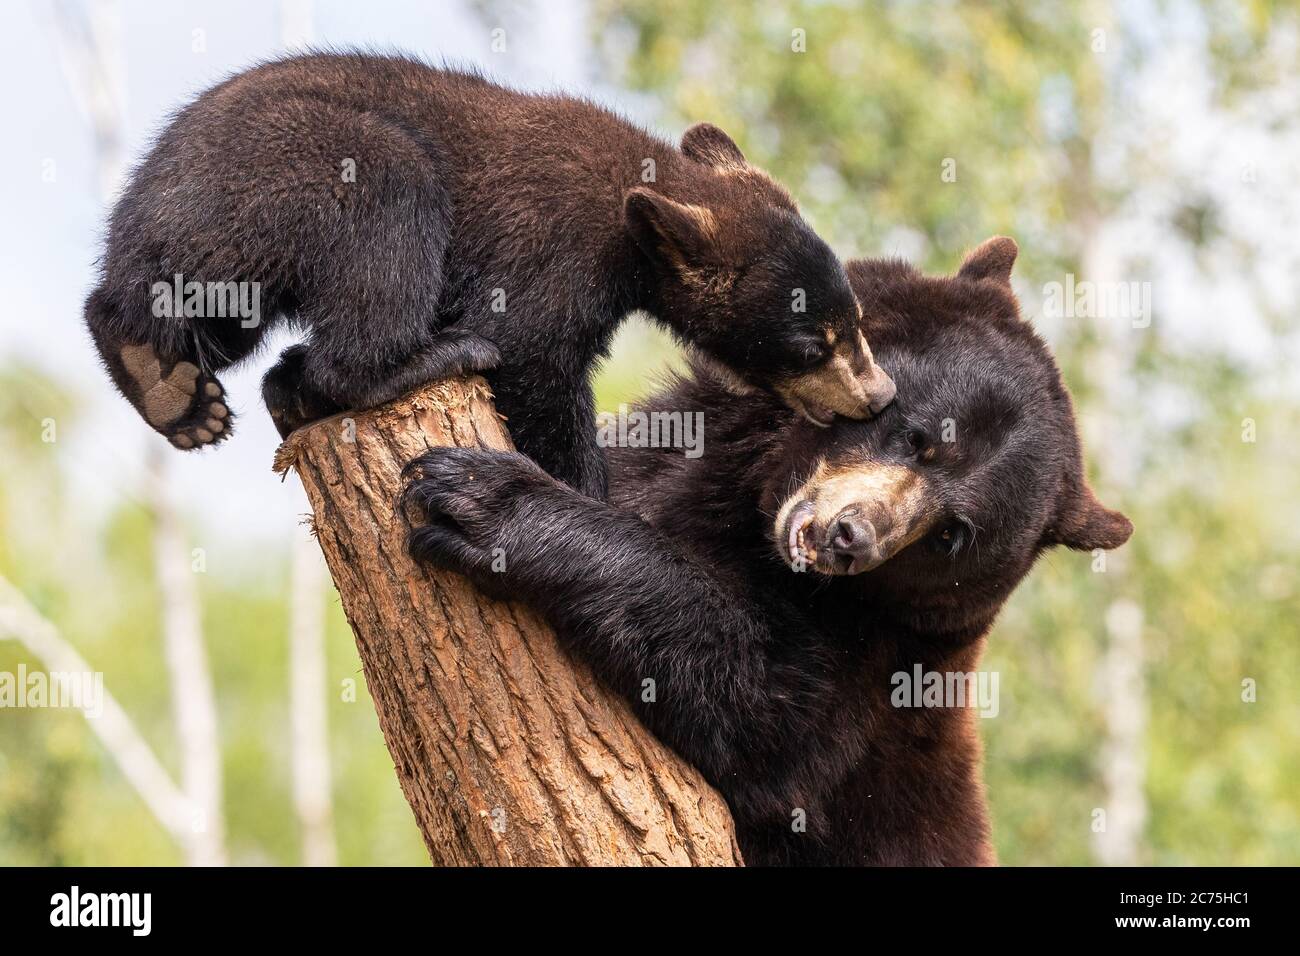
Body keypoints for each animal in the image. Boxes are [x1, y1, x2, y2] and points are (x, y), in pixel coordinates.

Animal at [83, 50, 894, 502]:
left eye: (853, 318)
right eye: (812, 343)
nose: (877, 394)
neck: (632, 222)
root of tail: (138, 207)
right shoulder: (552, 250)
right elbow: (534, 356)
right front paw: (587, 491)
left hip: (225, 249)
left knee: (192, 312)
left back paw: (175, 388)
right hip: (297, 168)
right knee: (389, 206)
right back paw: (414, 360)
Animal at [403, 239, 1128, 868]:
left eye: (952, 534)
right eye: (920, 438)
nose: (849, 538)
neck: (756, 506)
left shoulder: (876, 671)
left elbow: (764, 710)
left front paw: (484, 500)